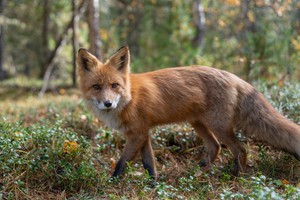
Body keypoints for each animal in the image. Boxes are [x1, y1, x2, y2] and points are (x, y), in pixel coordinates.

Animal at [77, 46, 300, 180]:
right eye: (97, 86)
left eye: (115, 85)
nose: (107, 103)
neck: (129, 97)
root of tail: (234, 77)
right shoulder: (142, 134)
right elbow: (149, 164)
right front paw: (154, 185)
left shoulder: (138, 134)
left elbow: (121, 163)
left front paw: (112, 183)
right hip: (198, 124)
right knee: (215, 147)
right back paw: (198, 171)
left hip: (219, 126)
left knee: (240, 149)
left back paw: (234, 176)